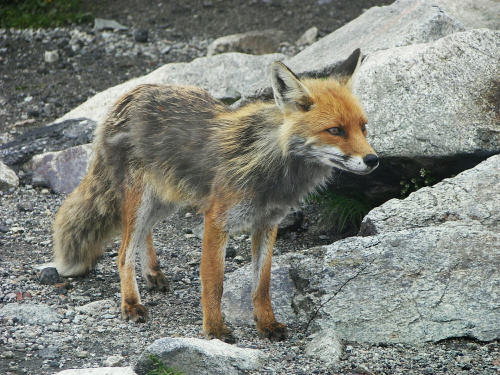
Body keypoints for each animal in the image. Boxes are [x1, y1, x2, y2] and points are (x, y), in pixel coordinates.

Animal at [52, 49, 376, 344]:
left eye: (363, 127)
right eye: (335, 130)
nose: (373, 160)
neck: (272, 164)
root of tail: (130, 93)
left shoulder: (267, 223)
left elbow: (262, 283)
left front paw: (267, 324)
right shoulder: (217, 220)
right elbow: (214, 282)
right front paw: (215, 329)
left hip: (166, 200)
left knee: (145, 232)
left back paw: (152, 272)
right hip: (142, 200)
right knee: (122, 253)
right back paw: (131, 303)